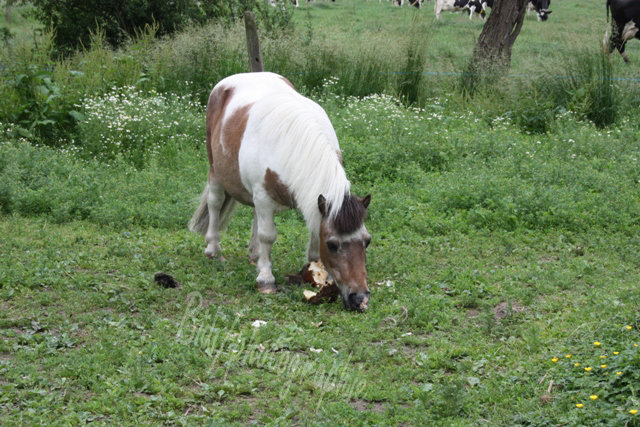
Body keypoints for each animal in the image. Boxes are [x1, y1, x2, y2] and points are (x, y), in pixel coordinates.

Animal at [188, 72, 372, 312]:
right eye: (332, 245)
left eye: (367, 241)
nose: (359, 298)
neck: (295, 141)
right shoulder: (263, 195)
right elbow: (268, 235)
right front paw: (266, 279)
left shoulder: (311, 202)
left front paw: (315, 269)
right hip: (215, 171)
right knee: (215, 203)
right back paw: (213, 249)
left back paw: (254, 255)